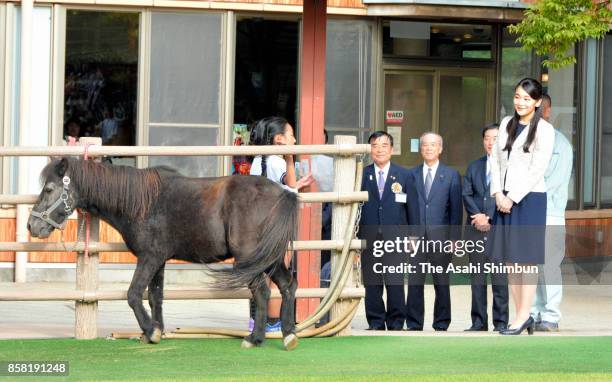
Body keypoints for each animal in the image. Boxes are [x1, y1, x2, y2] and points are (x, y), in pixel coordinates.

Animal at [27, 157, 300, 350]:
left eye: (49, 189)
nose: (32, 226)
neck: (142, 202)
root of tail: (282, 193)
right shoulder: (159, 260)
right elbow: (155, 296)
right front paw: (155, 330)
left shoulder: (149, 257)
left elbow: (133, 294)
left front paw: (150, 331)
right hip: (269, 258)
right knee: (287, 286)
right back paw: (289, 335)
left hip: (250, 259)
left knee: (262, 292)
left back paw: (255, 338)